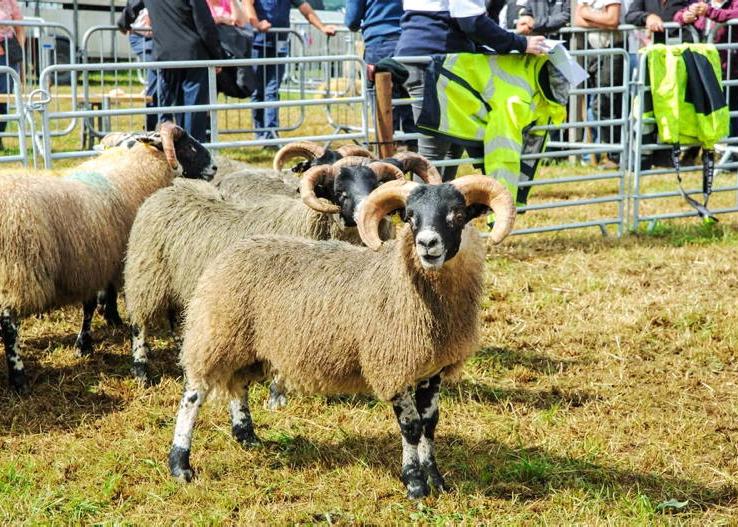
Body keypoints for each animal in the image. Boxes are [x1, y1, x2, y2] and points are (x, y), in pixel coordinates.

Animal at [0, 123, 216, 393]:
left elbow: (92, 303)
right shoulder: (106, 262)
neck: (139, 170)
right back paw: (18, 378)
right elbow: (95, 305)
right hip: (16, 272)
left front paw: (87, 341)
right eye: (187, 145)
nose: (214, 167)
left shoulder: (94, 262)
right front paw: (90, 344)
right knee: (9, 324)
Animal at [124, 156, 440, 385]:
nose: (366, 212)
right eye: (339, 191)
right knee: (139, 323)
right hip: (146, 273)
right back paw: (141, 371)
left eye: (375, 186)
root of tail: (170, 189)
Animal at [166, 174, 516, 499]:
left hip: (247, 343)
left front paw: (437, 480)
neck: (402, 281)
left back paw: (247, 437)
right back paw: (180, 464)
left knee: (239, 384)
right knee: (193, 395)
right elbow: (412, 427)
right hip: (216, 332)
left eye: (458, 213)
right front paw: (415, 483)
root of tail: (231, 250)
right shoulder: (391, 365)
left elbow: (430, 424)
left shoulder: (432, 371)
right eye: (410, 216)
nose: (427, 244)